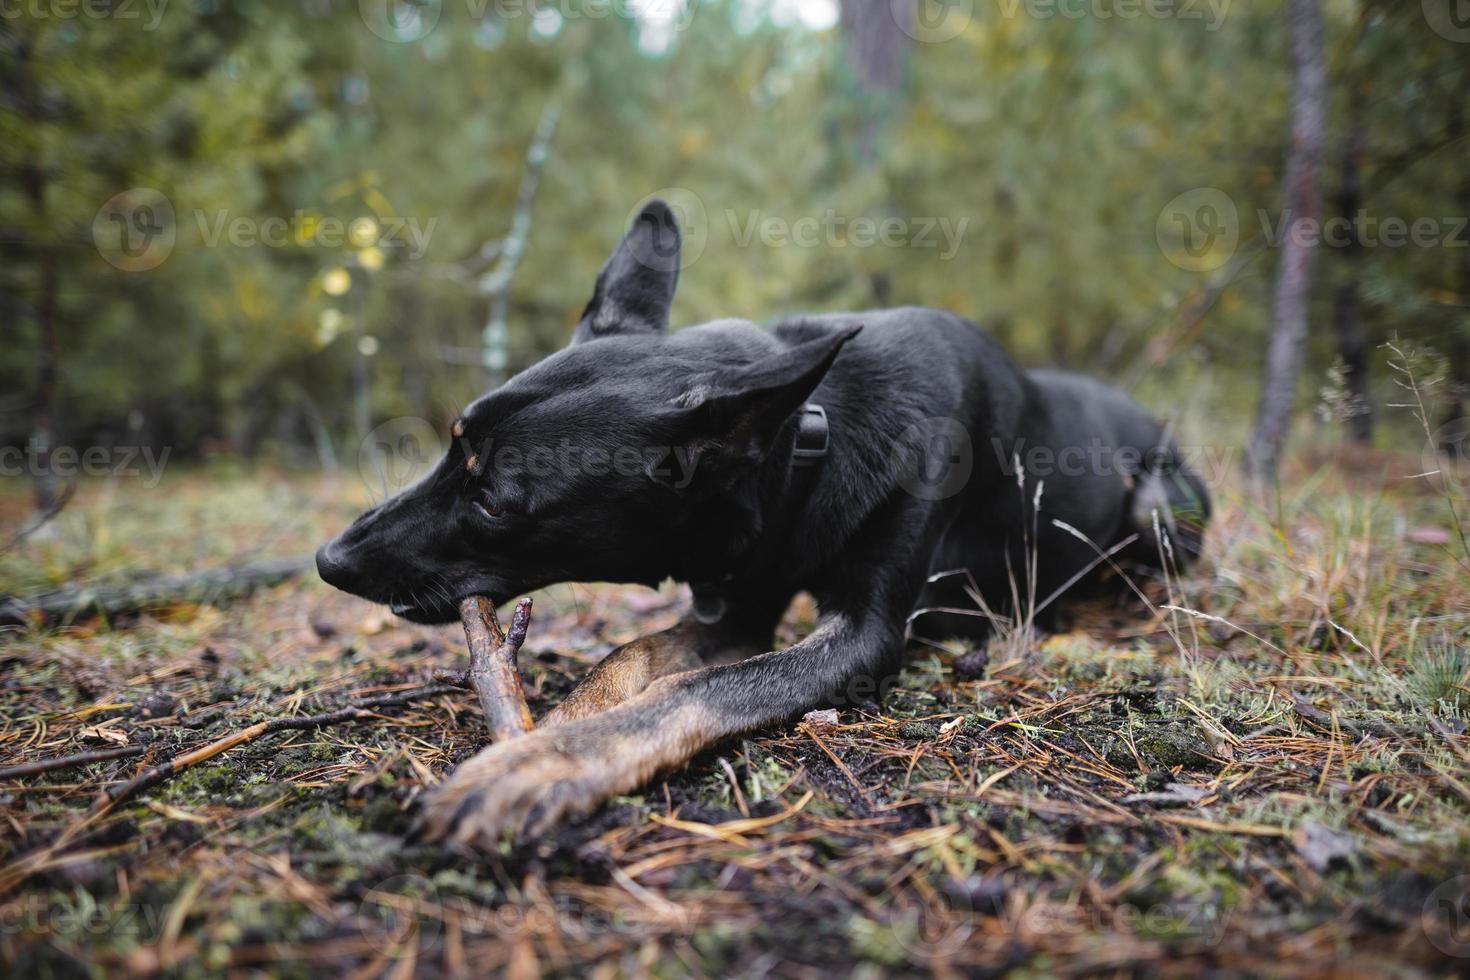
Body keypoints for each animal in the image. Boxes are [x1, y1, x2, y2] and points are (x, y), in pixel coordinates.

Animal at [313, 196, 1205, 846]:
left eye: (494, 500)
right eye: (450, 441)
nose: (330, 560)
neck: (810, 437)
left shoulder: (863, 638)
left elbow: (697, 691)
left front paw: (541, 764)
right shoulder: (737, 608)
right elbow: (626, 661)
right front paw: (542, 735)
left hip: (1160, 506)